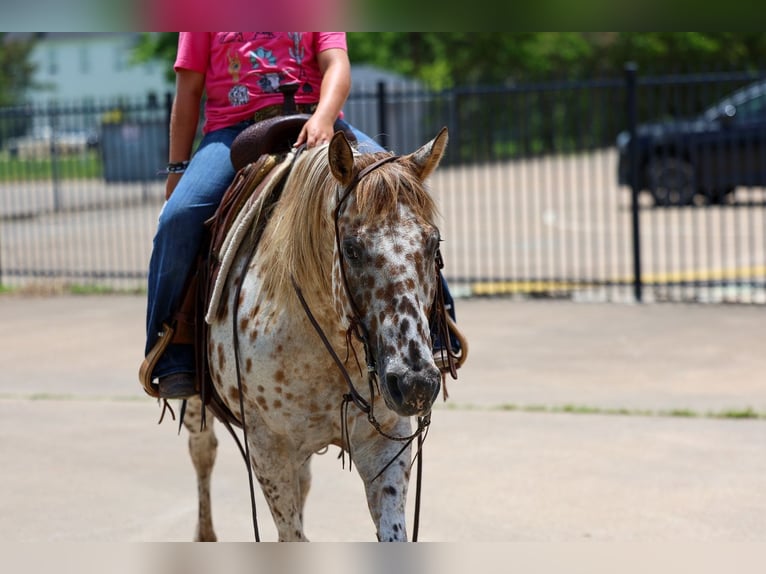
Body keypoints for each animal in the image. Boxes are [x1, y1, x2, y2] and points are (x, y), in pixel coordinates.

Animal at [181, 126, 450, 541]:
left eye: (432, 243)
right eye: (351, 249)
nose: (415, 384)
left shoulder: (386, 438)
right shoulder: (268, 447)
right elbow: (289, 532)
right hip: (198, 402)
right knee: (203, 451)